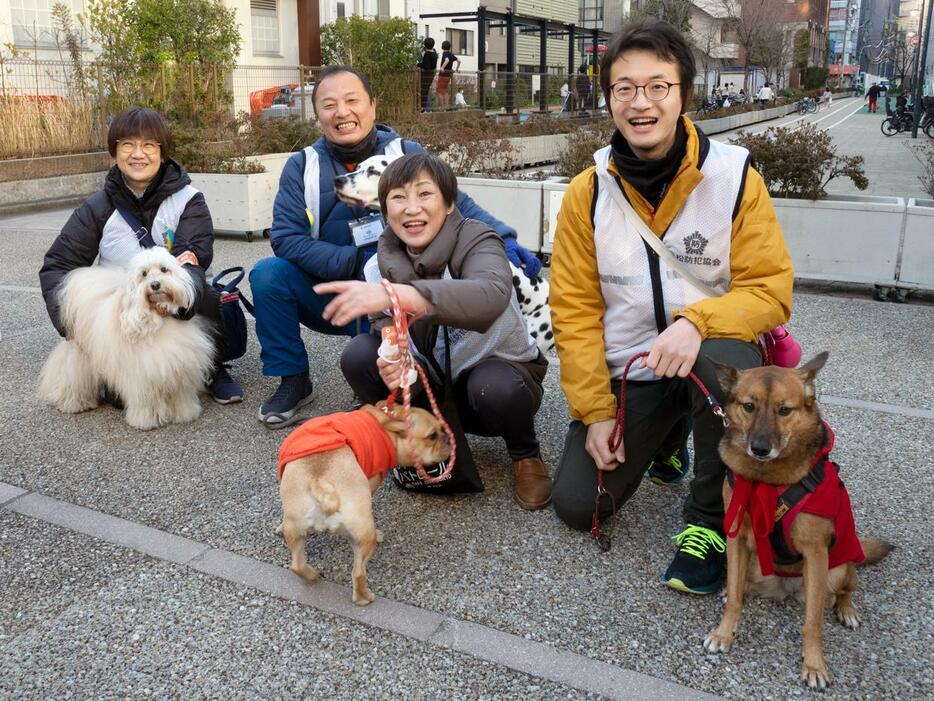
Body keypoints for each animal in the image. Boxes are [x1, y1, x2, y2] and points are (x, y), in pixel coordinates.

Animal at [38, 249, 216, 430]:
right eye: (144, 274)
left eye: (164, 269)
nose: (155, 285)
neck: (158, 320)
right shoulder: (143, 377)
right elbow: (146, 402)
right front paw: (146, 421)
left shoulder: (179, 373)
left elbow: (180, 398)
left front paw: (185, 414)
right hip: (80, 361)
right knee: (72, 380)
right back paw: (74, 404)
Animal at [278, 402, 450, 604]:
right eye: (432, 436)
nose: (448, 439)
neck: (389, 423)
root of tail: (320, 483)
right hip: (364, 533)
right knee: (358, 572)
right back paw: (364, 597)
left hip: (296, 528)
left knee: (297, 565)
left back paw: (311, 576)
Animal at [704, 352, 896, 692]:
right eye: (749, 406)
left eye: (784, 410)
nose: (760, 448)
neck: (766, 482)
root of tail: (786, 589)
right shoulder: (736, 538)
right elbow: (735, 600)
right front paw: (724, 633)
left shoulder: (815, 552)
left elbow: (812, 622)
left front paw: (814, 665)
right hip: (753, 563)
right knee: (741, 586)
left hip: (839, 569)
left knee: (843, 592)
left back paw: (847, 610)